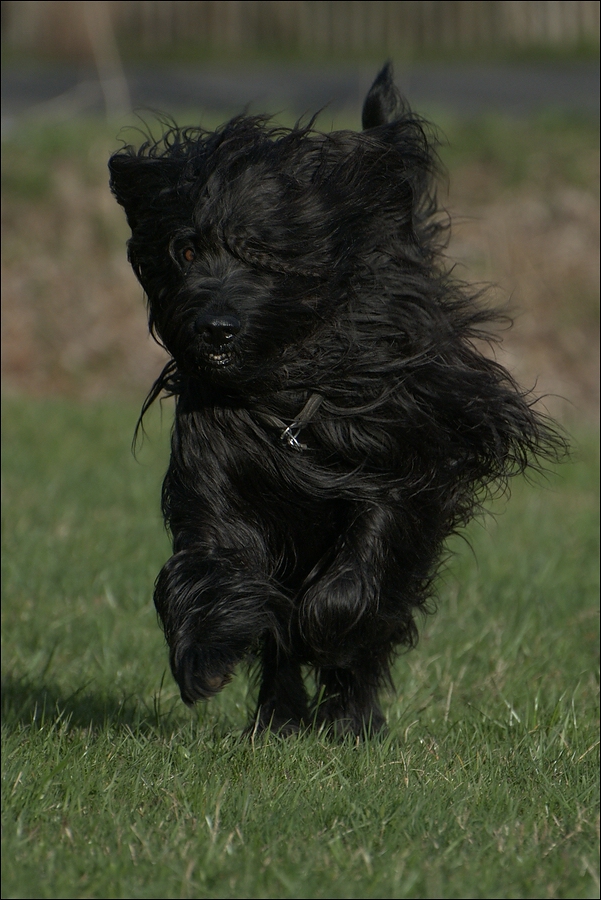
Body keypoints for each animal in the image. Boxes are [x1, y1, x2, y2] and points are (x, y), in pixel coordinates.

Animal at [110, 65, 564, 740]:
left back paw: (350, 715)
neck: (290, 390)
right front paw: (205, 653)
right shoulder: (218, 472)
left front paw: (324, 626)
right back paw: (278, 717)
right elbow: (215, 559)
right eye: (185, 251)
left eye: (262, 254)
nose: (214, 328)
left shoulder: (408, 465)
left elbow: (364, 566)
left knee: (369, 628)